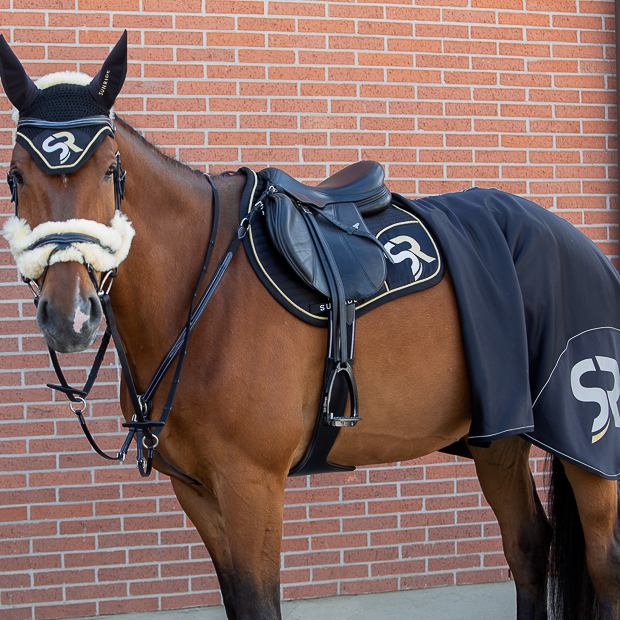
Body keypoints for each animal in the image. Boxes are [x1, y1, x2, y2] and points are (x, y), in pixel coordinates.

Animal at [1, 32, 620, 620]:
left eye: (111, 172)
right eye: (14, 178)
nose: (71, 317)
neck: (199, 291)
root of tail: (578, 243)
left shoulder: (251, 484)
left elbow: (259, 603)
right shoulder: (197, 490)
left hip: (586, 441)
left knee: (602, 560)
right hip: (500, 435)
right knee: (527, 545)